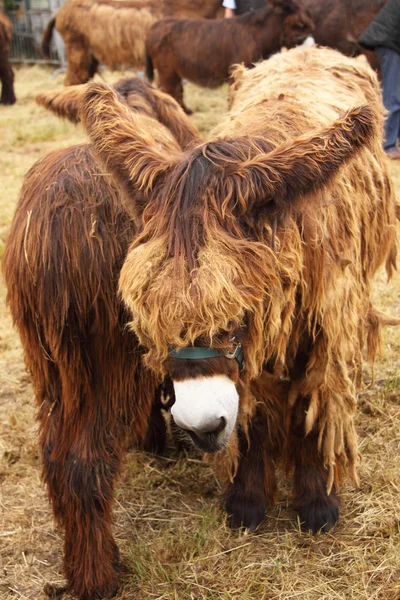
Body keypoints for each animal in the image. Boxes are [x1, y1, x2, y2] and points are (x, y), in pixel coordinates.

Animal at [3, 47, 400, 600]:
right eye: (145, 316)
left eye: (237, 308)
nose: (200, 428)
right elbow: (258, 416)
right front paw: (249, 503)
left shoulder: (318, 328)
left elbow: (312, 408)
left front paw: (316, 507)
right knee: (81, 459)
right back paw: (100, 574)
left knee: (66, 459)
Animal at [145, 0, 314, 112]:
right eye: (287, 8)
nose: (306, 28)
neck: (255, 35)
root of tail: (154, 26)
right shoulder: (236, 72)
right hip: (166, 71)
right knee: (166, 91)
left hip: (173, 72)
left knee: (176, 90)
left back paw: (186, 111)